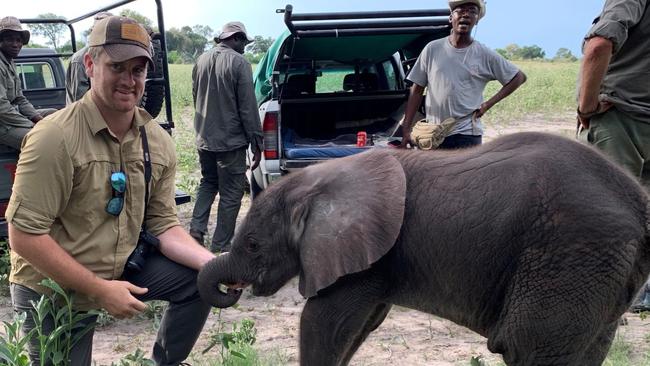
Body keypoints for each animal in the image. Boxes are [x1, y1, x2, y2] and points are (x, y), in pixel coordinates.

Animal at [197, 132, 648, 366]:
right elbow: (361, 325)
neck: (317, 180)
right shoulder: (376, 260)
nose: (232, 289)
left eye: (253, 245)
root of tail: (641, 208)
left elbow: (323, 322)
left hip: (572, 253)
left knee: (529, 347)